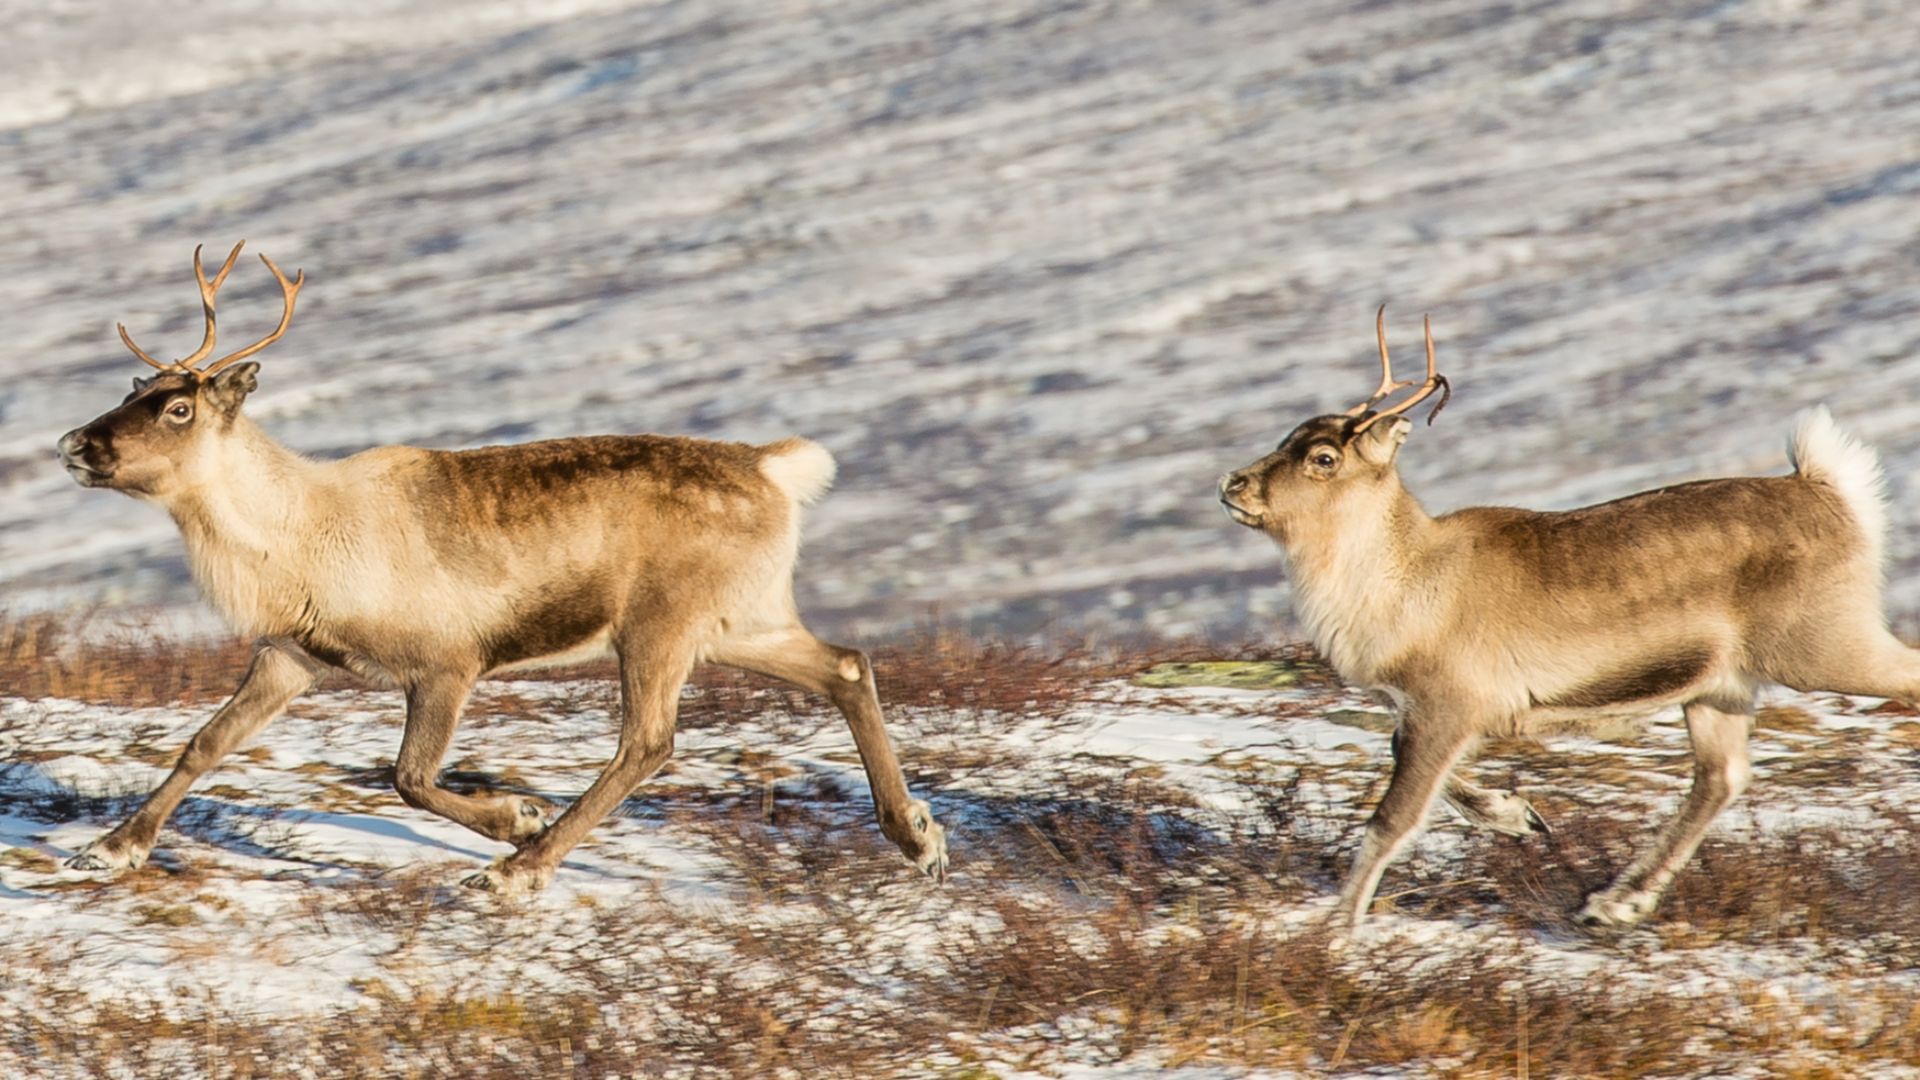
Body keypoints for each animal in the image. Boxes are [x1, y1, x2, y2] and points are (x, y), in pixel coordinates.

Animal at [55, 241, 947, 894]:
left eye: (178, 407)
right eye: (132, 388)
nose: (73, 443)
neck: (297, 535)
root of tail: (774, 469)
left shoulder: (447, 663)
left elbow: (408, 777)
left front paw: (516, 817)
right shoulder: (291, 654)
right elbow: (204, 743)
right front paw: (111, 848)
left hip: (659, 625)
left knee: (647, 743)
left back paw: (520, 869)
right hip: (741, 618)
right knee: (847, 665)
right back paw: (917, 837)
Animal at [1219, 307, 1908, 928]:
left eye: (1324, 457)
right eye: (1288, 436)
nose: (1232, 484)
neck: (1405, 578)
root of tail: (1832, 492)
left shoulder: (1447, 702)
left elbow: (1392, 819)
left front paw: (1334, 933)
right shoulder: (1433, 710)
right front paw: (1517, 814)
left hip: (1824, 645)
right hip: (1720, 686)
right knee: (1721, 777)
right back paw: (1613, 903)